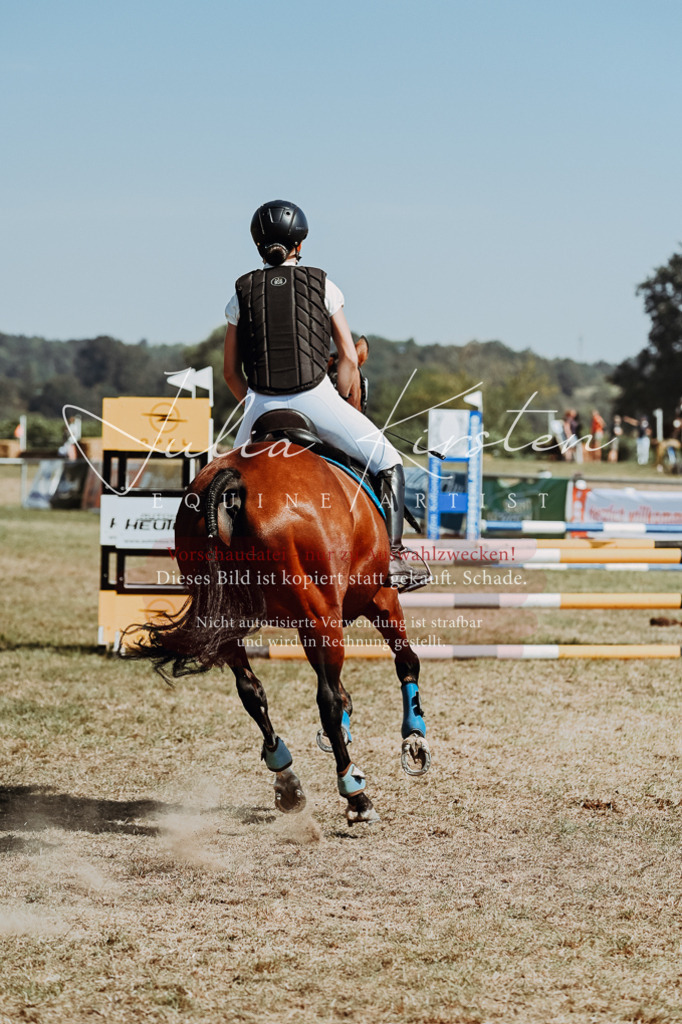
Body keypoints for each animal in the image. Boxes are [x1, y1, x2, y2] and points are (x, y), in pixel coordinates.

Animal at [132, 343, 431, 825]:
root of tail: (234, 480)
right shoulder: (380, 597)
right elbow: (407, 661)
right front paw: (415, 740)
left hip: (231, 621)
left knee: (251, 691)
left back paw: (287, 778)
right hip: (320, 618)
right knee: (325, 698)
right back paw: (354, 794)